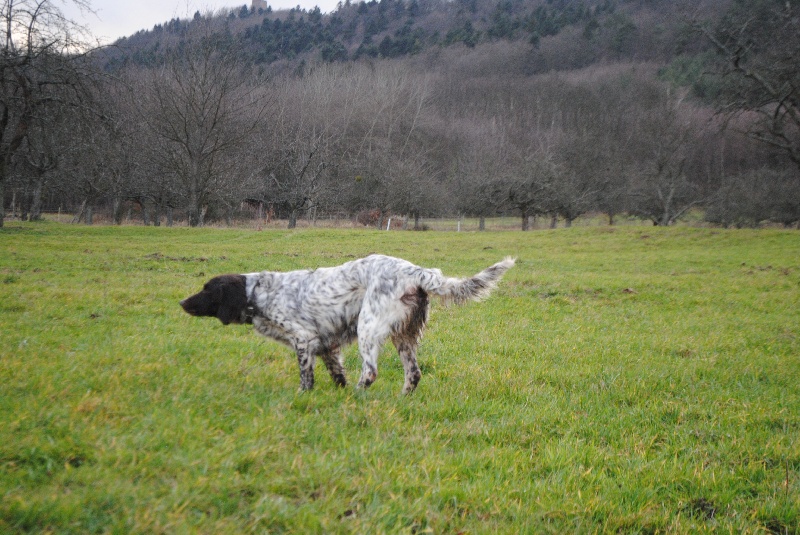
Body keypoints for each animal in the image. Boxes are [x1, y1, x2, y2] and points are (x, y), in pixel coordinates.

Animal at [179, 255, 516, 394]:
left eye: (207, 289)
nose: (182, 302)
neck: (259, 294)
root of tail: (417, 271)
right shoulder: (327, 346)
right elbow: (336, 372)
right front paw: (335, 390)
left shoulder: (303, 339)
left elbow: (306, 376)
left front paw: (304, 394)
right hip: (403, 336)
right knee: (414, 373)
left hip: (368, 327)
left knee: (370, 372)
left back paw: (357, 395)